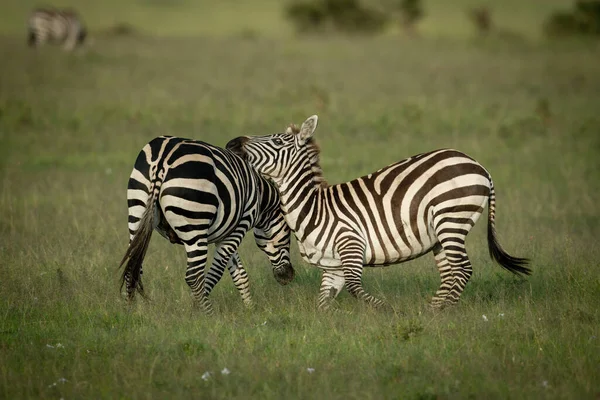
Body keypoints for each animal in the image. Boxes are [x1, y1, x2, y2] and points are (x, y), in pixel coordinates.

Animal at [118, 136, 294, 314]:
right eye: (289, 232)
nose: (288, 277)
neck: (261, 196)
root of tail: (163, 158)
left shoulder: (225, 233)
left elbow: (239, 273)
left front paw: (249, 309)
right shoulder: (240, 225)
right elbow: (216, 273)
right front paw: (196, 309)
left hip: (137, 211)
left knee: (133, 267)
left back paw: (130, 311)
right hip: (195, 225)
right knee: (194, 276)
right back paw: (210, 314)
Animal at [226, 114, 528, 310]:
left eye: (277, 142)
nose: (232, 143)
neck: (312, 208)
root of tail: (478, 165)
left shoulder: (351, 245)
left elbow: (356, 289)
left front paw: (388, 310)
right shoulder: (332, 266)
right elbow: (322, 303)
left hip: (451, 218)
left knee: (463, 270)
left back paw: (441, 313)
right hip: (441, 234)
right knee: (450, 273)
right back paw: (433, 310)